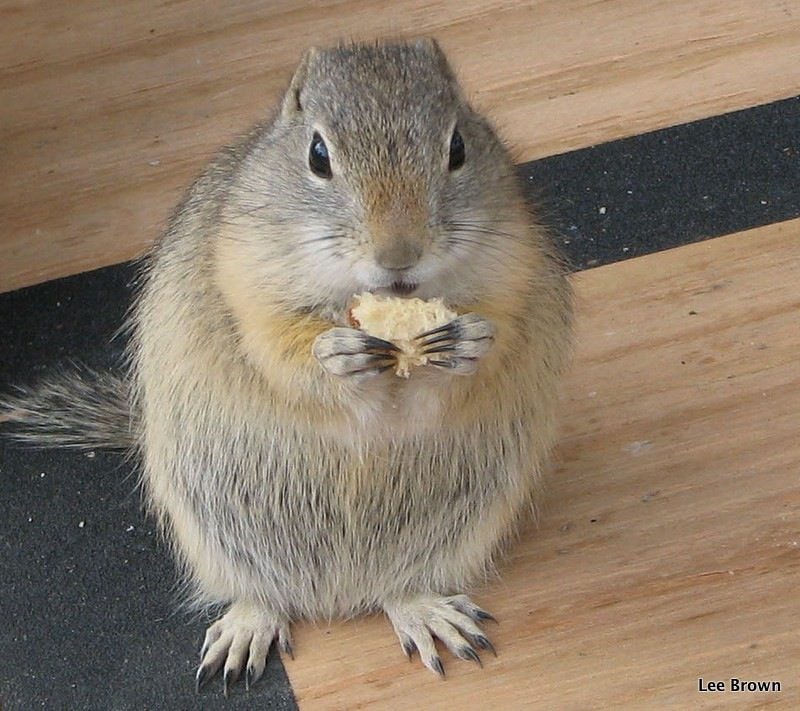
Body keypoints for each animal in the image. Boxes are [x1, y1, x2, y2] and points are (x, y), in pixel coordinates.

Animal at [1, 40, 576, 696]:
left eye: (458, 148)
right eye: (318, 155)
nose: (398, 254)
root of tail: (337, 595)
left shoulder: (514, 266)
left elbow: (496, 333)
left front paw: (469, 342)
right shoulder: (244, 277)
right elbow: (278, 347)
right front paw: (335, 355)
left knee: (398, 588)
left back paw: (424, 611)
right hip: (213, 527)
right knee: (261, 592)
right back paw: (248, 627)